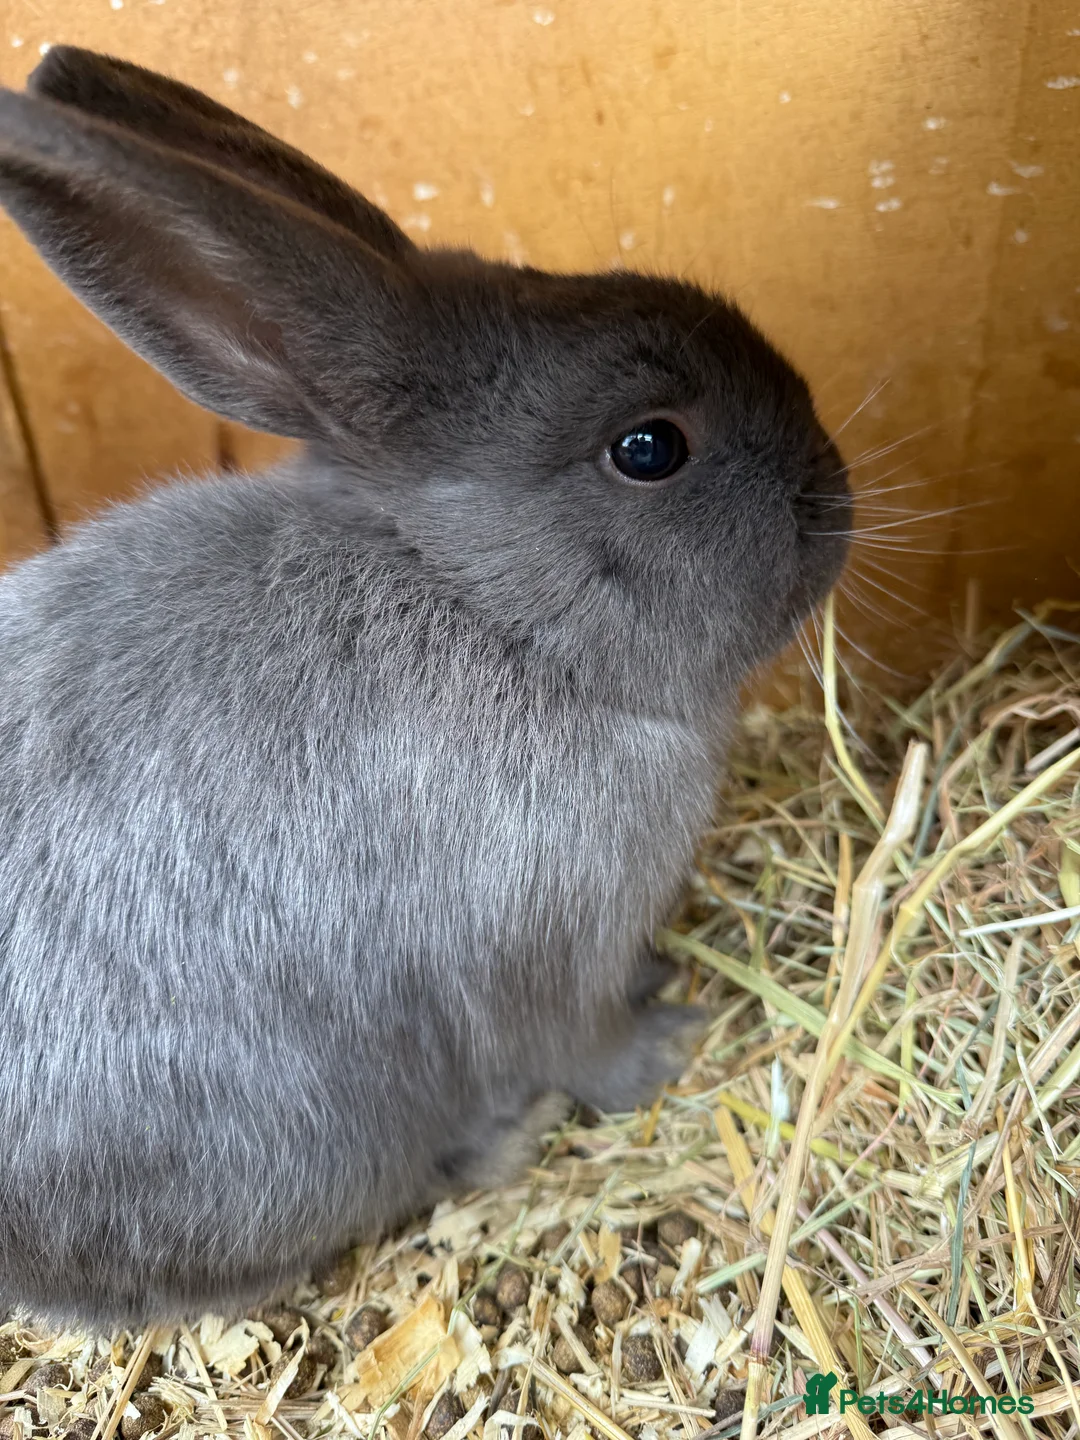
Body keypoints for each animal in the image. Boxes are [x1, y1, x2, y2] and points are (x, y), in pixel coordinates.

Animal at [0, 46, 850, 1329]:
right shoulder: (541, 950)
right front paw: (678, 1041)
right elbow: (584, 1043)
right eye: (650, 448)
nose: (833, 489)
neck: (484, 609)